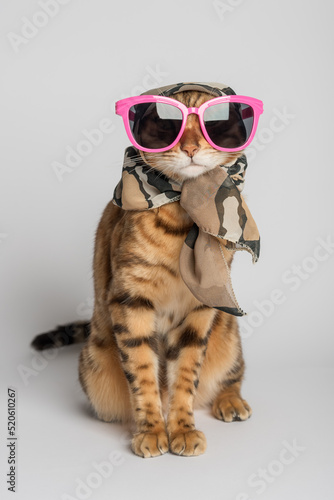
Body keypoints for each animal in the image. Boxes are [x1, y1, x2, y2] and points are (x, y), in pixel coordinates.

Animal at [32, 90, 252, 458]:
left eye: (213, 126)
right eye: (167, 127)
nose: (190, 148)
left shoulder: (201, 307)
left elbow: (185, 376)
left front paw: (182, 428)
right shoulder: (130, 299)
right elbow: (143, 372)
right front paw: (152, 429)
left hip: (227, 335)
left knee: (232, 375)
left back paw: (230, 401)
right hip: (95, 368)